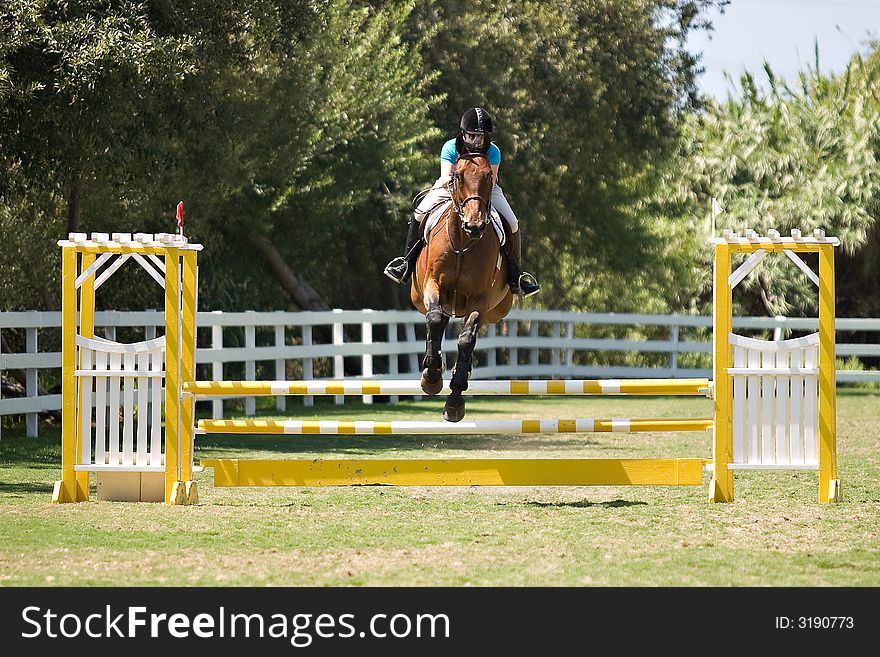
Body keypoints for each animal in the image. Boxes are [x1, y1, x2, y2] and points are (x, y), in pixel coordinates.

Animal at [410, 152, 512, 420]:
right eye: (457, 176)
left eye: (488, 177)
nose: (474, 225)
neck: (463, 244)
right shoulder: (432, 285)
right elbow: (434, 319)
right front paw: (432, 376)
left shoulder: (480, 300)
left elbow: (467, 339)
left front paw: (455, 400)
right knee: (437, 319)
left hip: (497, 309)